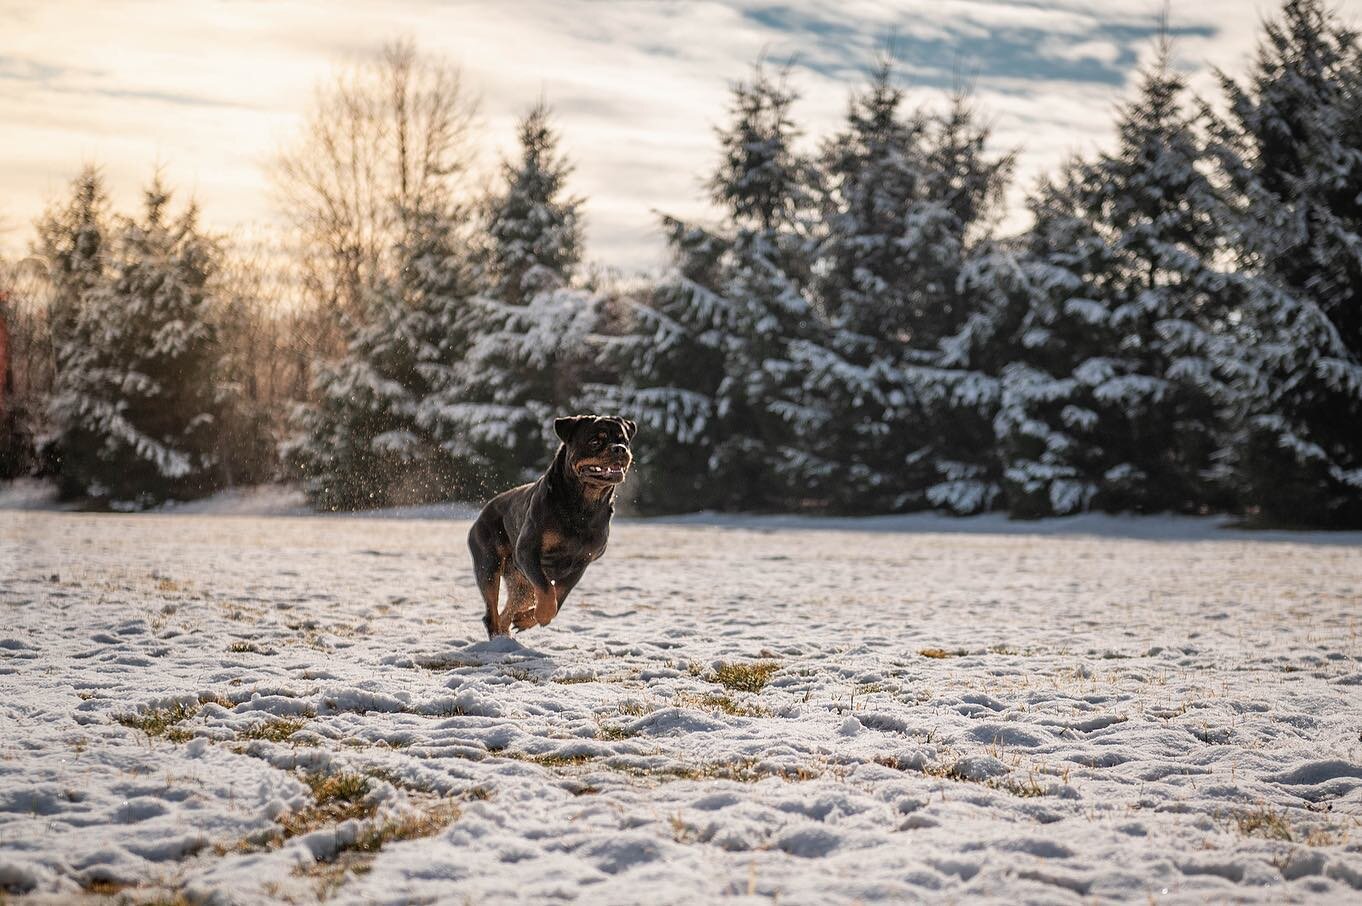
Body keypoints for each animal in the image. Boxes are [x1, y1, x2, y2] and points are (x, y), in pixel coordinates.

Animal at [468, 414, 637, 634]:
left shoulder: (582, 562)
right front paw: (541, 615)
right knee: (492, 613)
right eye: (595, 441)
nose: (619, 449)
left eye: (624, 440)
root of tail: (483, 512)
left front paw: (528, 618)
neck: (583, 507)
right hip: (489, 564)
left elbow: (560, 594)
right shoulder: (527, 552)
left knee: (508, 611)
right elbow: (547, 589)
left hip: (520, 582)